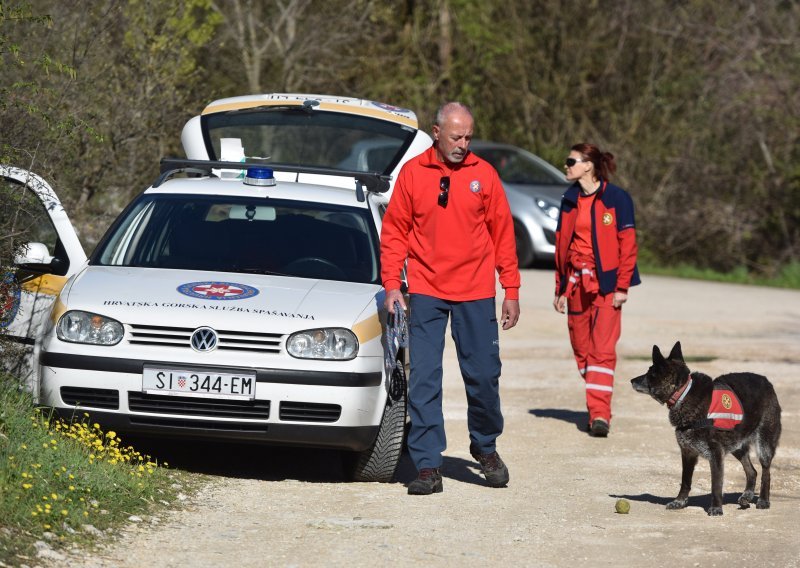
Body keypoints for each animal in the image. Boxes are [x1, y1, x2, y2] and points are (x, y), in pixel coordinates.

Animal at [632, 340, 780, 516]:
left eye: (650, 373)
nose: (631, 380)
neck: (683, 394)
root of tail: (767, 382)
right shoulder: (688, 453)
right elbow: (685, 481)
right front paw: (679, 502)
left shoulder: (716, 454)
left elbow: (716, 485)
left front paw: (716, 508)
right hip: (736, 445)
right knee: (752, 471)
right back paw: (747, 496)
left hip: (764, 445)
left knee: (765, 472)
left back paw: (763, 500)